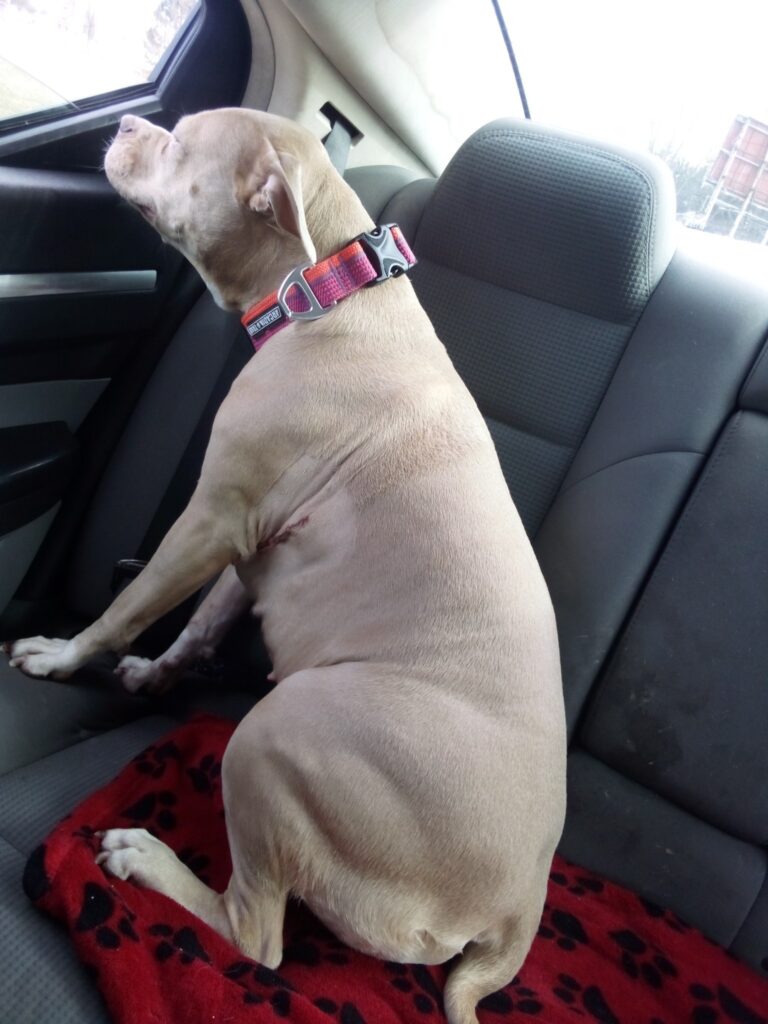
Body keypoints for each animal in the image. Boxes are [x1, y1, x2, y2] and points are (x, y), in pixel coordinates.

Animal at [3, 108, 569, 1019]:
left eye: (180, 141)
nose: (127, 120)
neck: (329, 287)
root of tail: (519, 907)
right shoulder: (245, 546)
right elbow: (195, 626)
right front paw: (153, 676)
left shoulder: (208, 520)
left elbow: (126, 609)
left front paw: (59, 657)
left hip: (274, 736)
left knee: (256, 936)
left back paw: (145, 860)